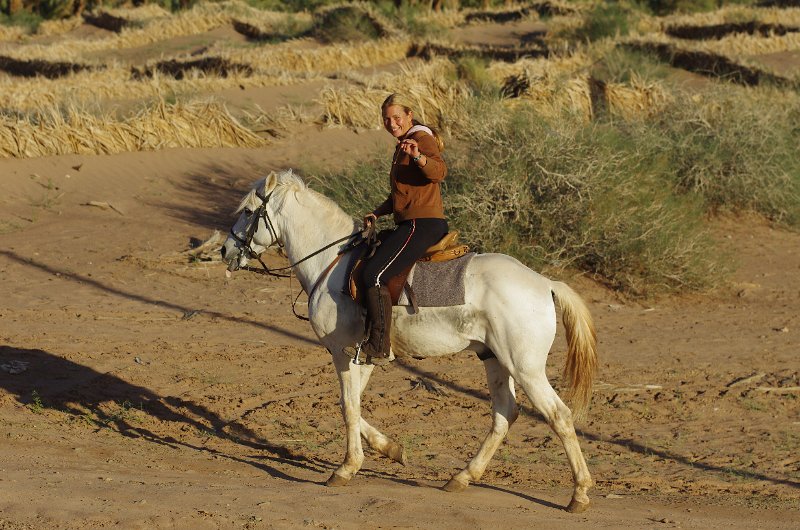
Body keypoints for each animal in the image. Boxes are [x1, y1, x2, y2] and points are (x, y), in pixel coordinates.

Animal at [222, 169, 596, 512]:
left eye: (248, 211)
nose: (226, 250)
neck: (334, 264)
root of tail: (544, 282)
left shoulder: (341, 352)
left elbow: (348, 407)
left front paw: (346, 468)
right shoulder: (364, 356)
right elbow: (352, 406)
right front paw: (391, 449)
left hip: (525, 367)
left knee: (559, 416)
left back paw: (579, 494)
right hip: (495, 359)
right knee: (505, 414)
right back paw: (463, 477)